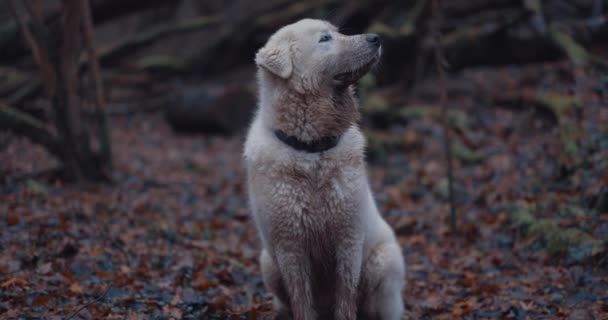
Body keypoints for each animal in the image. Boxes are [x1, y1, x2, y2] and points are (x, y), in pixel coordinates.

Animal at [242, 18, 404, 318]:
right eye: (325, 39)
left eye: (338, 32)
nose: (376, 38)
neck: (312, 149)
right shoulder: (289, 246)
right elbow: (301, 301)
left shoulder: (348, 239)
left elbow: (346, 296)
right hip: (268, 264)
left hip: (383, 263)